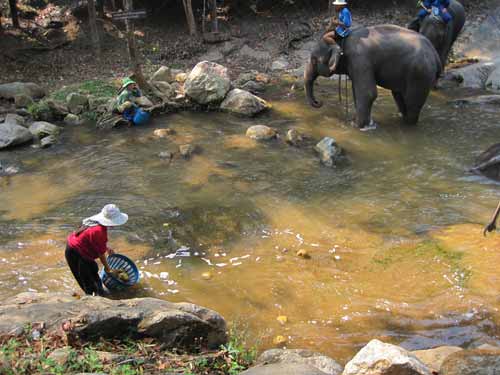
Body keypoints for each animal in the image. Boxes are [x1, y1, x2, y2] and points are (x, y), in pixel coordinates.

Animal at [304, 25, 442, 130]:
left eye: (314, 60)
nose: (318, 102)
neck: (342, 39)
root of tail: (435, 54)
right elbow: (356, 92)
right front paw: (362, 123)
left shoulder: (360, 58)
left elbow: (367, 93)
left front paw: (358, 127)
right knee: (400, 97)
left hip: (420, 75)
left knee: (412, 102)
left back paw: (408, 125)